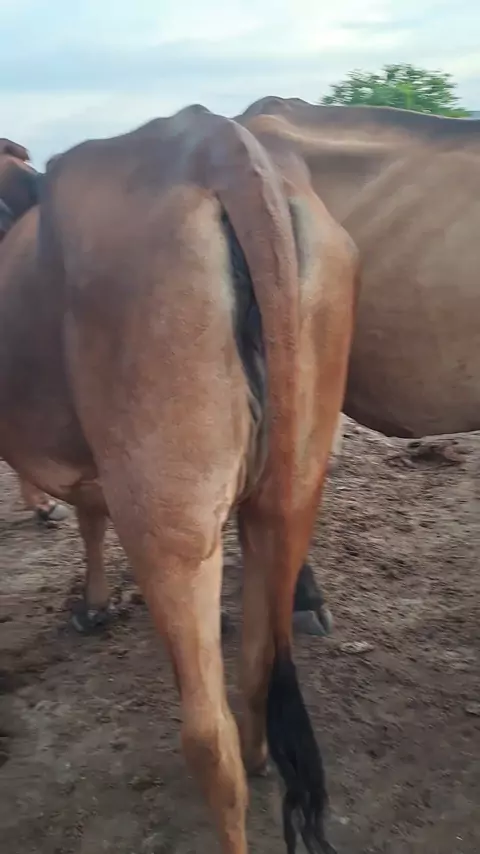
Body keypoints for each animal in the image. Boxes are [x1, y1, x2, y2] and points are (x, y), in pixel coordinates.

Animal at [0, 106, 358, 853]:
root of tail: (215, 142)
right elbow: (87, 513)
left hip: (168, 513)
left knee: (208, 738)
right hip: (291, 485)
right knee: (257, 666)